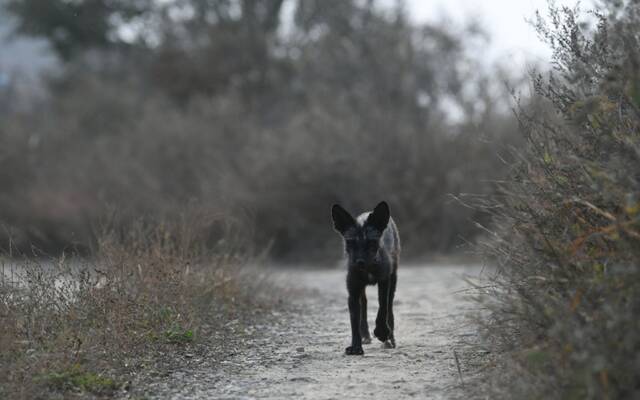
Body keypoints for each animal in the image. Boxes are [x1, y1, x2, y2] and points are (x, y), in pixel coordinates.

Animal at [330, 202, 400, 354]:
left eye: (372, 242)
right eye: (350, 242)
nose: (360, 262)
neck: (368, 270)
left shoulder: (384, 281)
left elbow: (382, 308)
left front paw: (382, 332)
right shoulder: (353, 291)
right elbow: (354, 322)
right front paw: (356, 347)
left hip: (393, 279)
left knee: (389, 307)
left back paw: (390, 338)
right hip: (361, 290)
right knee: (364, 305)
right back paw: (366, 335)